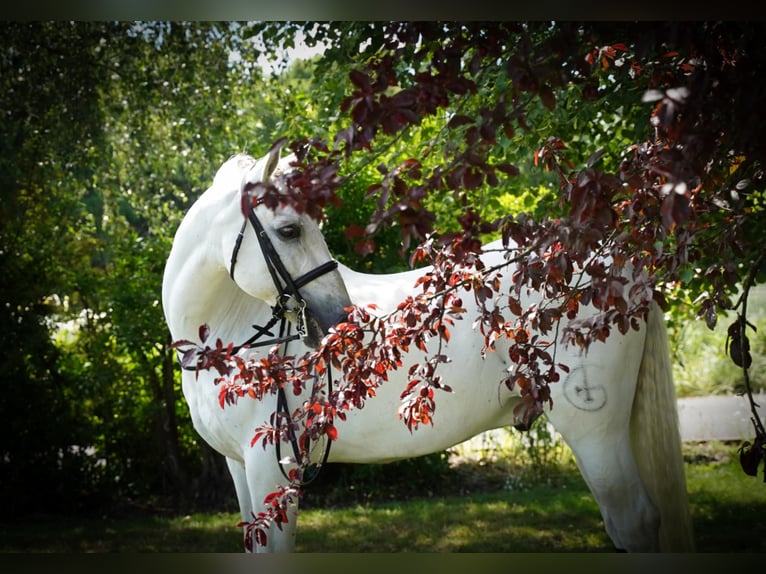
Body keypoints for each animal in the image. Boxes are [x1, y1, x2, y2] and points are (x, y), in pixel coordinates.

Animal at [162, 151, 696, 556]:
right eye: (290, 229)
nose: (339, 320)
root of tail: (617, 262)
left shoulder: (273, 469)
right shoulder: (240, 468)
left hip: (593, 432)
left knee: (634, 523)